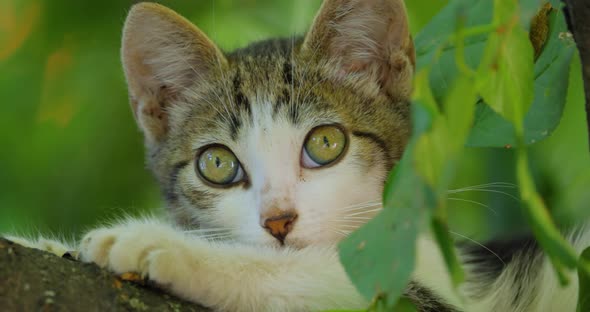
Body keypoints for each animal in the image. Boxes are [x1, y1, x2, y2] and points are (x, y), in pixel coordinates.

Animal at [10, 0, 590, 312]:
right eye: (217, 165)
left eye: (325, 144)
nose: (278, 221)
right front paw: (43, 243)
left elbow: (324, 274)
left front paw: (156, 242)